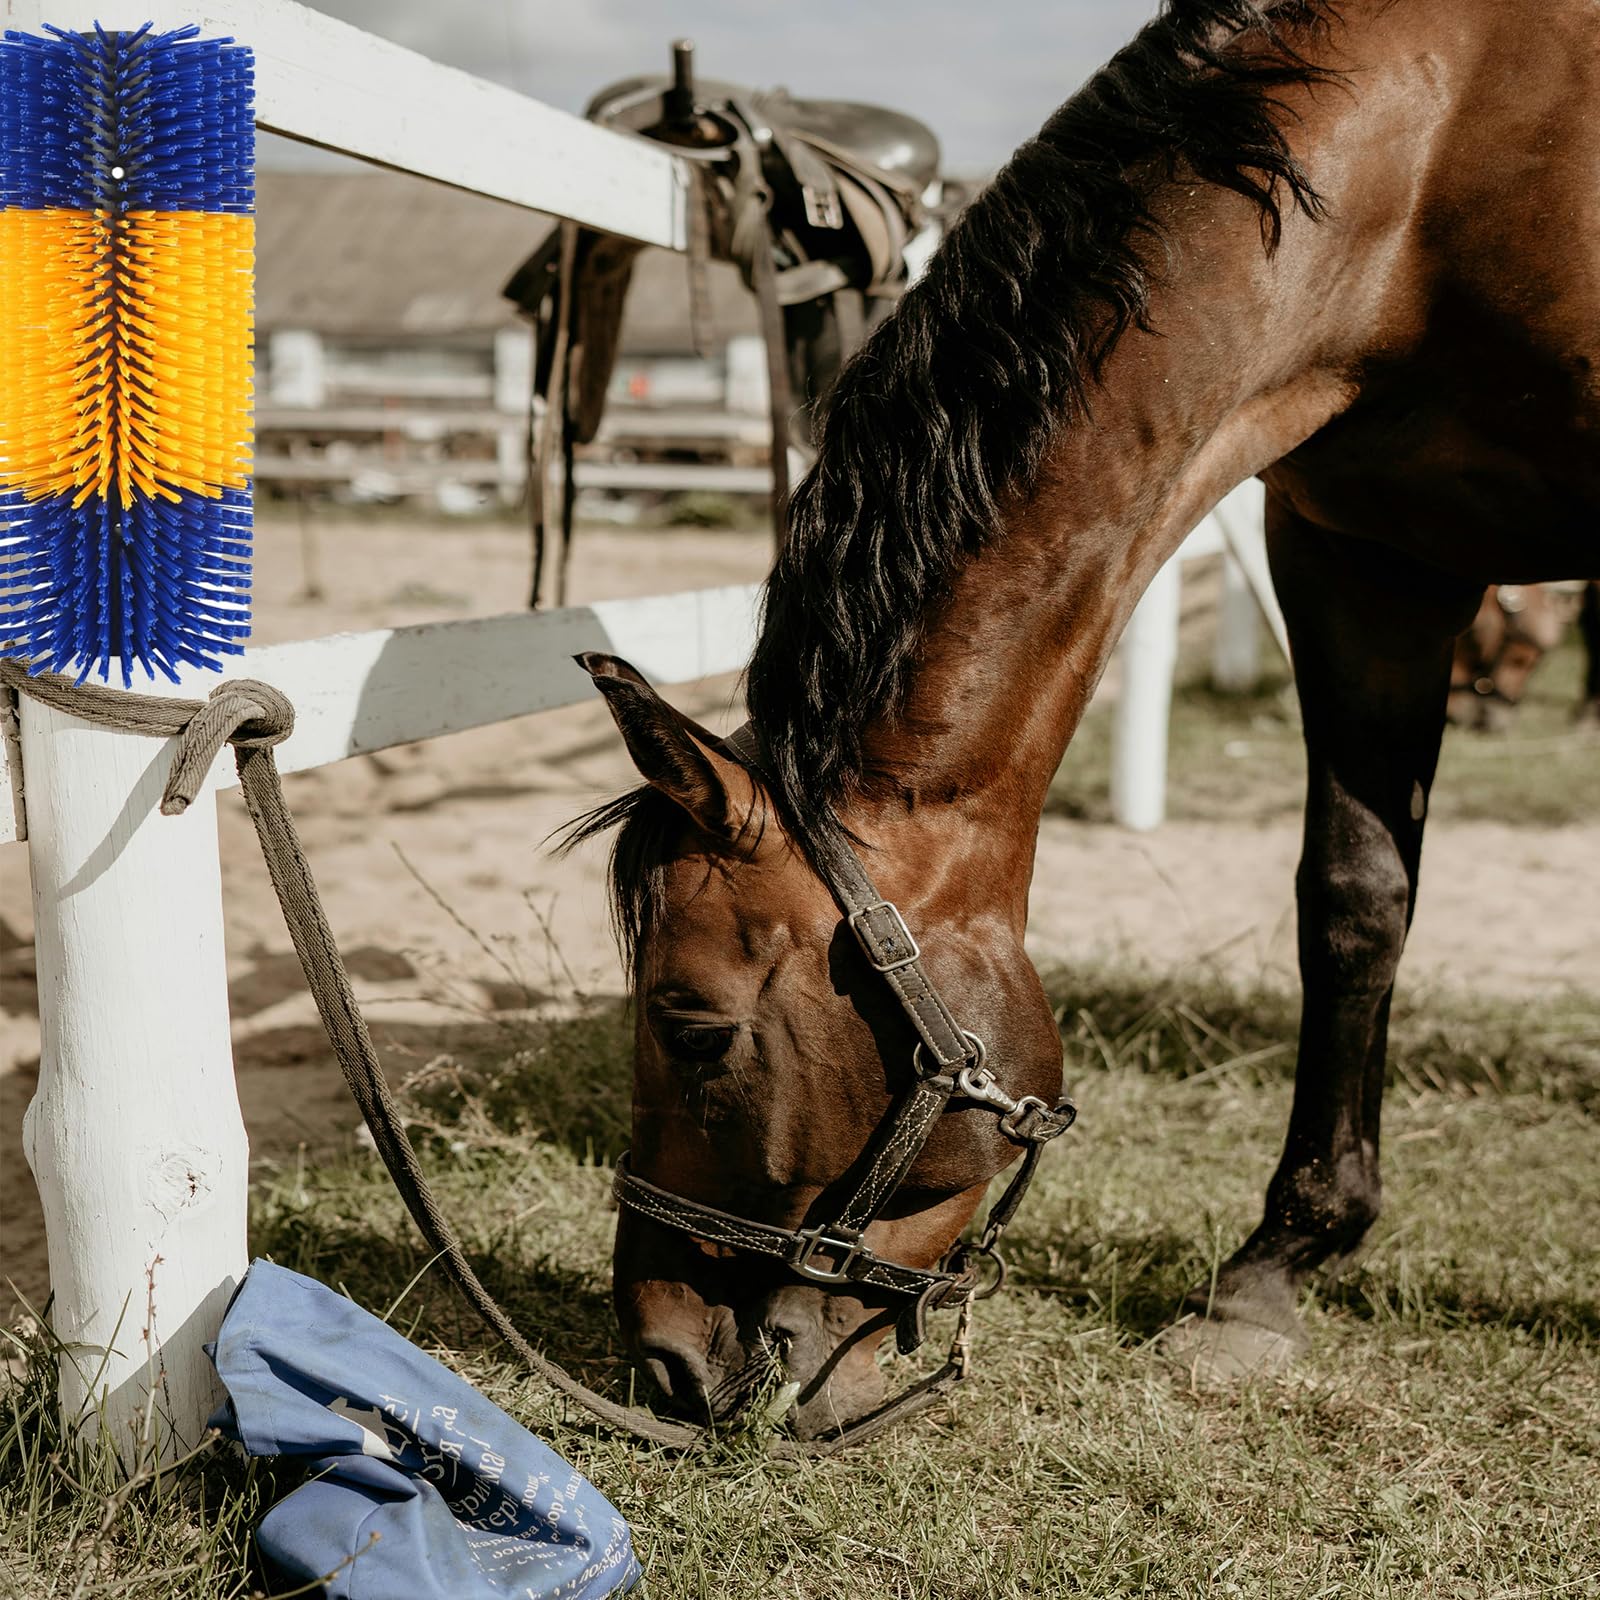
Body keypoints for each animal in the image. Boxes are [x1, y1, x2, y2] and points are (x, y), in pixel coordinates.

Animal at [566, 0, 1598, 1438]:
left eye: (692, 1024)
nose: (659, 1357)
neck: (1453, 144)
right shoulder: (1365, 555)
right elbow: (1353, 900)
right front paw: (1275, 1267)